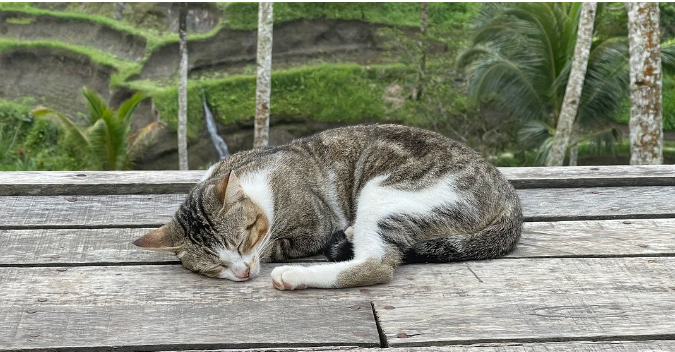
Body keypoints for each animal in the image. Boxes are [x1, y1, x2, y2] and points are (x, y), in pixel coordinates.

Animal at [132, 125, 524, 290]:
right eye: (213, 265)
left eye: (242, 241)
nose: (242, 273)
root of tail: (507, 191)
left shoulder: (313, 226)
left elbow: (278, 245)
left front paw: (270, 254)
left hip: (384, 192)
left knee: (376, 265)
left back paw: (295, 277)